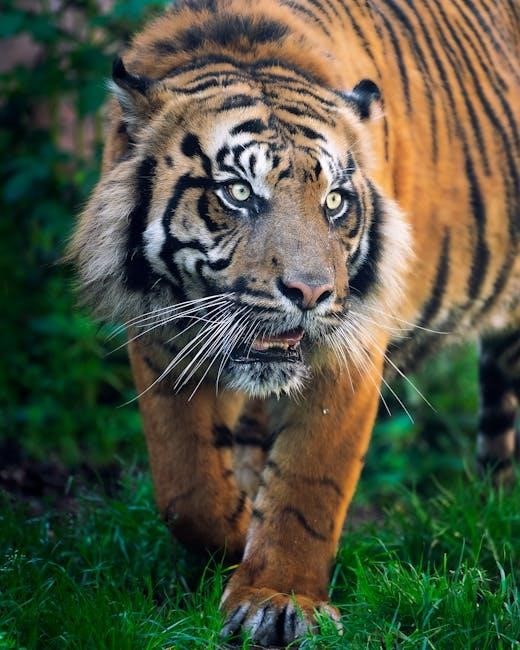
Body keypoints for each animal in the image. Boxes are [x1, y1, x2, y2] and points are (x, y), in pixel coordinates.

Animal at [70, 0, 520, 645]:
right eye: (237, 193)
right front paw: (236, 538)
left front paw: (280, 599)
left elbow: (309, 483)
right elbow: (187, 487)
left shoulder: (351, 345)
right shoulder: (159, 338)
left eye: (333, 201)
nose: (311, 293)